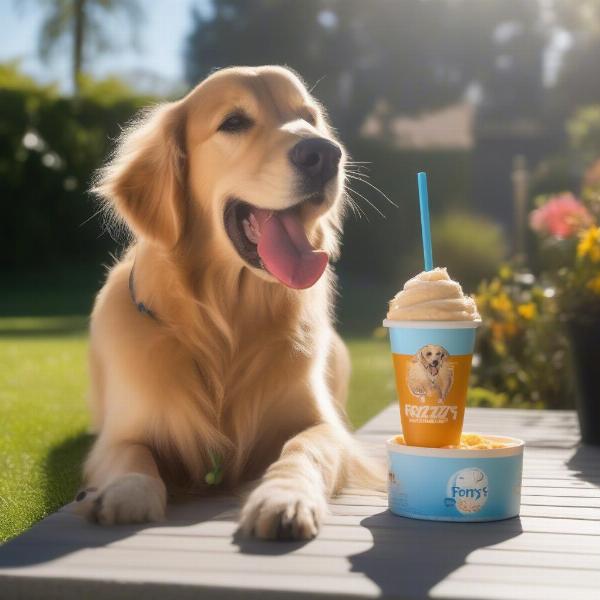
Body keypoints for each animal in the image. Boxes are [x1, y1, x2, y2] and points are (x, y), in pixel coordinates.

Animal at [77, 64, 380, 540]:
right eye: (234, 122)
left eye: (308, 118)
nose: (325, 154)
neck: (226, 322)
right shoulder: (122, 434)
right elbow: (132, 456)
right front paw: (127, 493)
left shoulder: (323, 425)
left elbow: (303, 449)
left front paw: (285, 497)